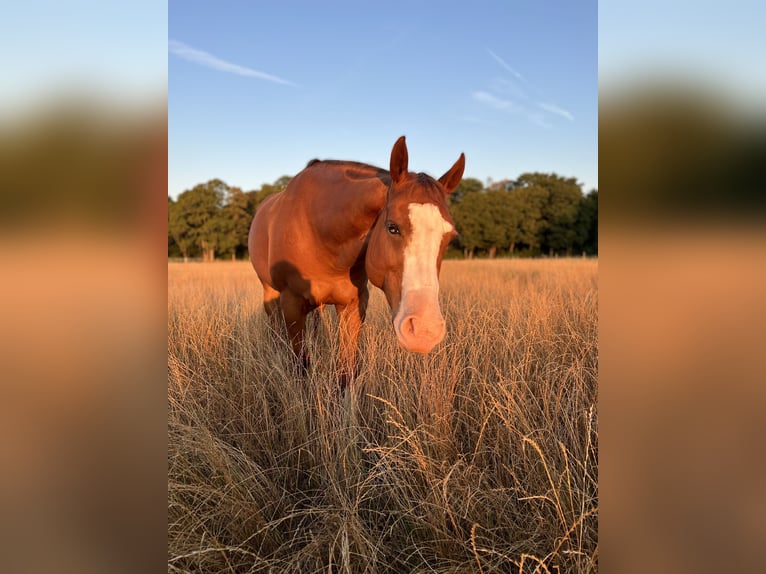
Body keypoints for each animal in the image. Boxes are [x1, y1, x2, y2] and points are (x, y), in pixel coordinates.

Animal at [249, 137, 464, 384]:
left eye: (450, 237)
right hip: (270, 294)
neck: (319, 232)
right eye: (392, 227)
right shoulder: (291, 303)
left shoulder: (353, 305)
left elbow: (346, 373)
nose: (424, 331)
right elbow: (300, 366)